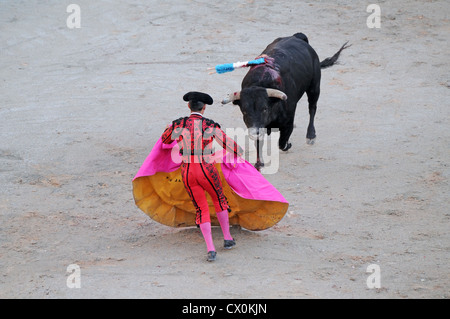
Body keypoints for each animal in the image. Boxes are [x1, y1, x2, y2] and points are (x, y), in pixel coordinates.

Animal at [223, 32, 350, 171]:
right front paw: (259, 163)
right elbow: (259, 144)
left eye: (264, 108)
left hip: (314, 86)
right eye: (244, 111)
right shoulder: (257, 125)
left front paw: (288, 145)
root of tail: (297, 36)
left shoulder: (288, 122)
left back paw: (311, 136)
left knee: (312, 108)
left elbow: (282, 143)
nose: (254, 132)